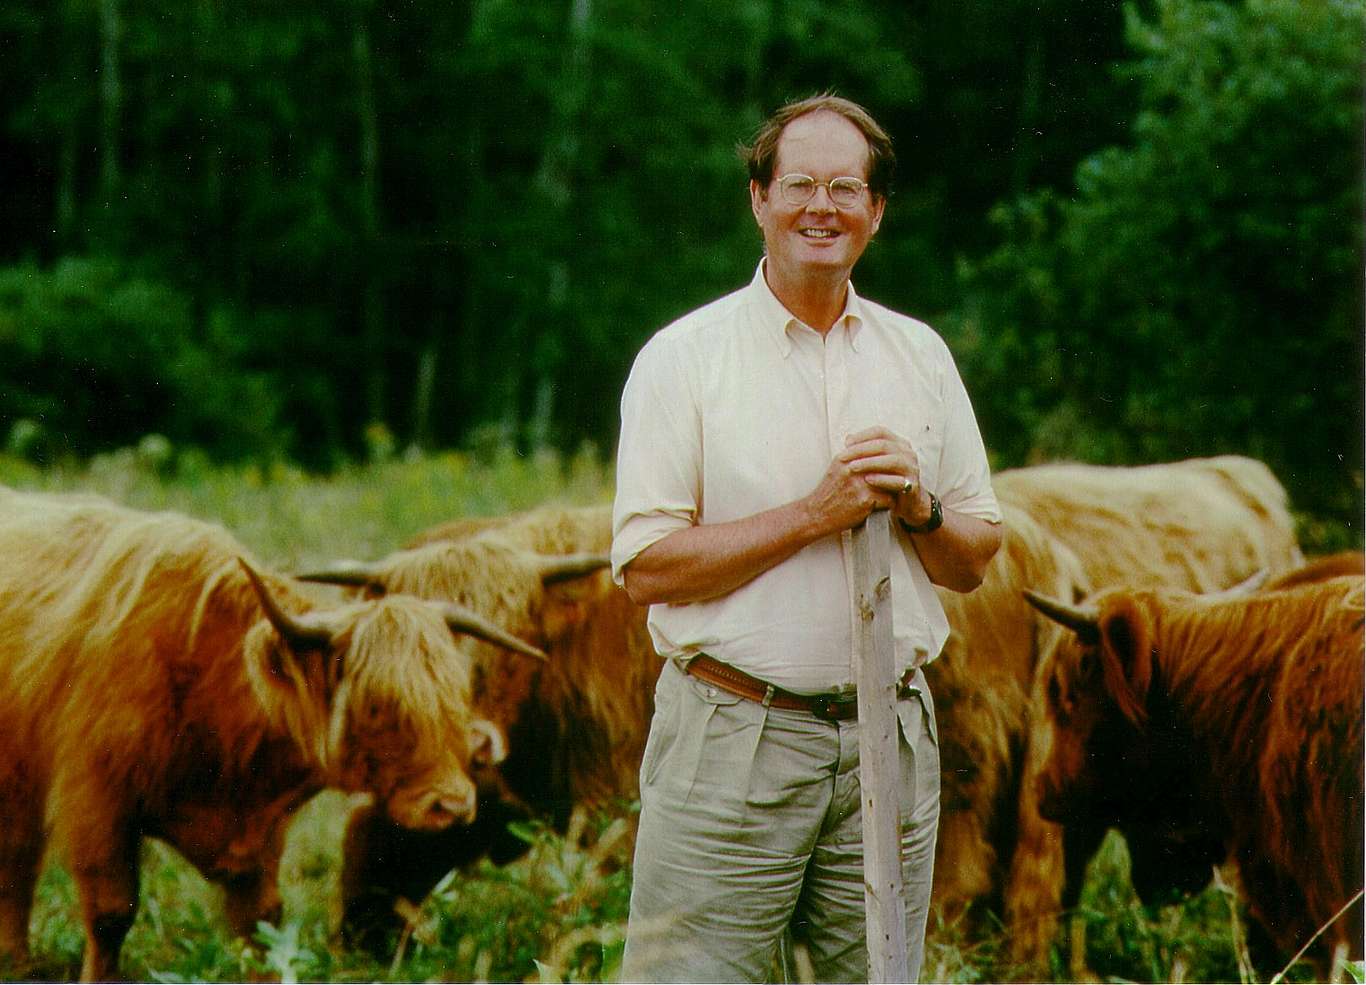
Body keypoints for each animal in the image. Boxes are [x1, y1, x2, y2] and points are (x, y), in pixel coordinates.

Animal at [0, 489, 540, 978]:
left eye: (458, 694)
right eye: (376, 703)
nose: (452, 805)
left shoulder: (258, 837)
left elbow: (261, 925)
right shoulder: (96, 805)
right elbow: (111, 915)